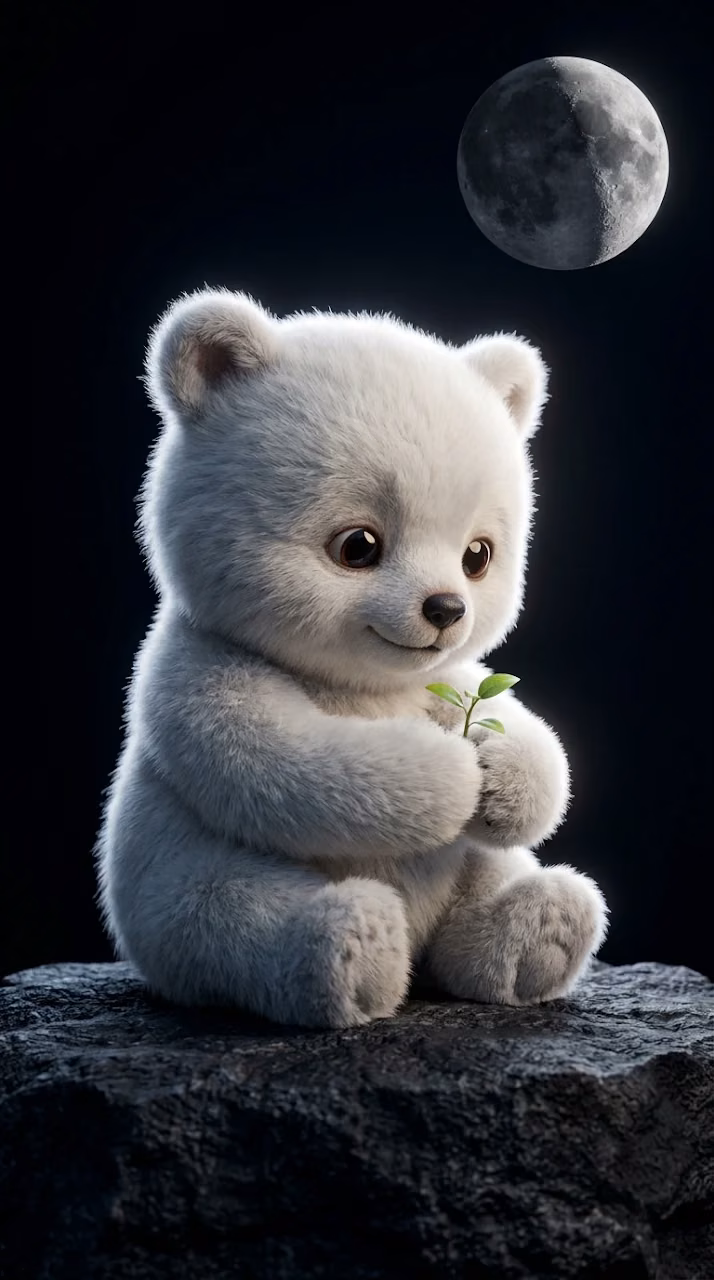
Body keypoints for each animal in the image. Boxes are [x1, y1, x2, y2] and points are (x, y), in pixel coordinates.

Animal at [95, 287, 608, 1029]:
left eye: (478, 555)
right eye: (358, 545)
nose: (446, 610)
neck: (363, 683)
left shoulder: (446, 678)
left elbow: (523, 726)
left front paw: (505, 777)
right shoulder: (201, 666)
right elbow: (277, 759)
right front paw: (451, 775)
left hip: (467, 877)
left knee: (490, 880)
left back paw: (537, 931)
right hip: (177, 888)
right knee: (231, 920)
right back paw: (356, 954)